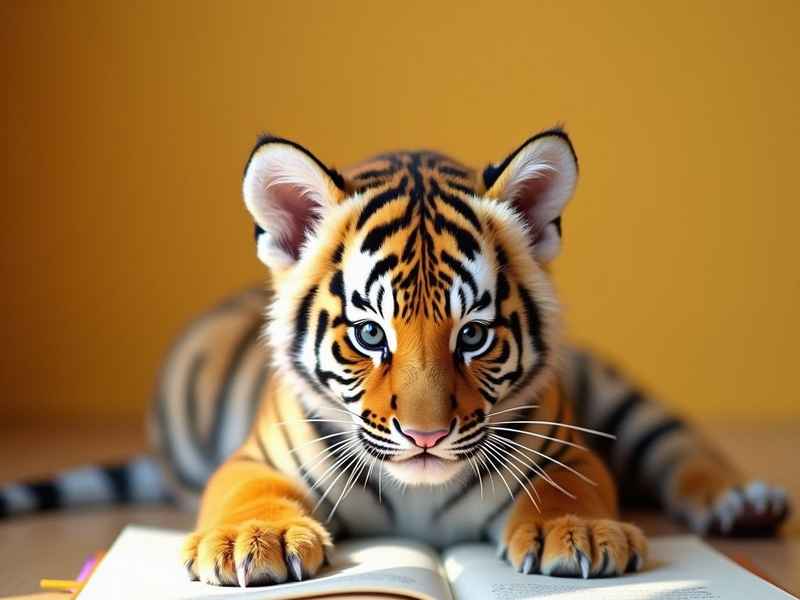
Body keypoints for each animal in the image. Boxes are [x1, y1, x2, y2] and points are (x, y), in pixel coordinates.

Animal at [0, 130, 789, 586]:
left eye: (473, 335)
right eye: (371, 334)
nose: (427, 435)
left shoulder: (570, 449)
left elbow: (572, 486)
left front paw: (580, 531)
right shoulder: (256, 456)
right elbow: (246, 491)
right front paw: (253, 537)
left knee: (680, 445)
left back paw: (742, 504)